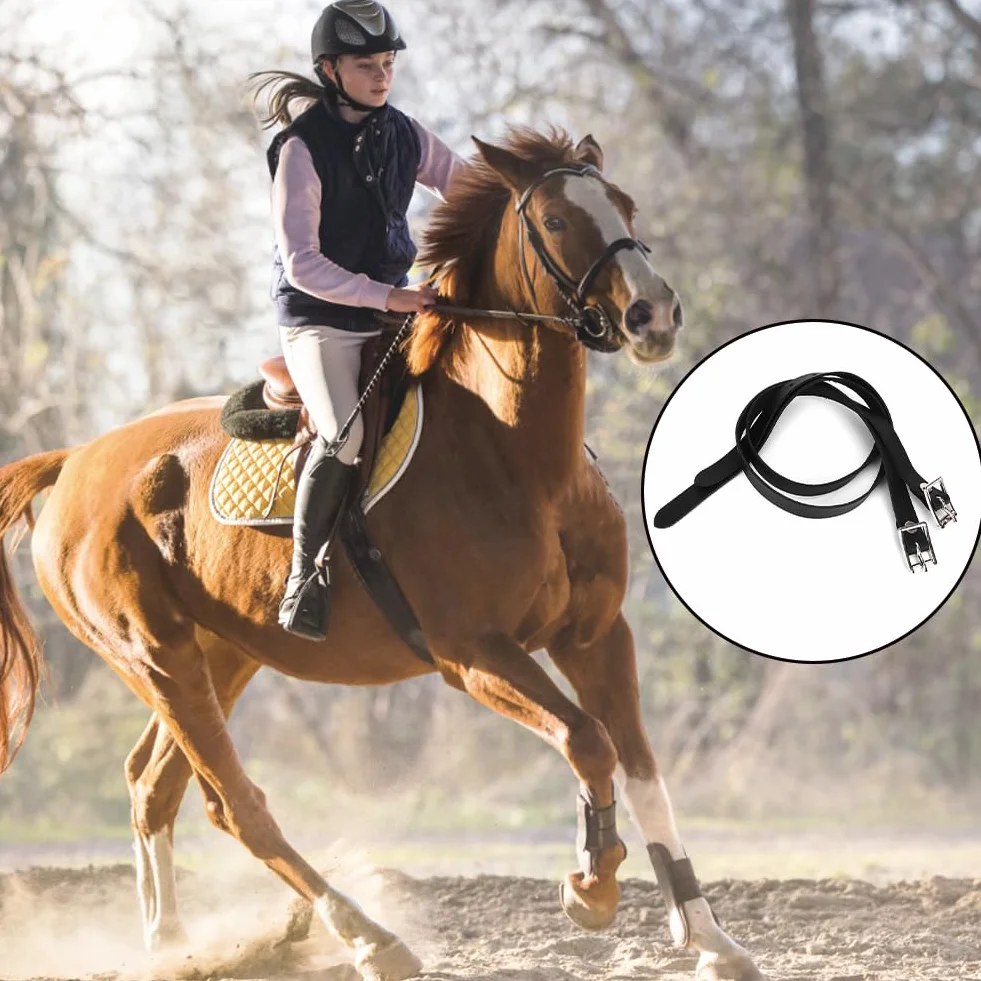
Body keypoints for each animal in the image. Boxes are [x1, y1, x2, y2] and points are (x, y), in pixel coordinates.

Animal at [0, 125, 761, 981]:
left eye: (624, 206)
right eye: (558, 220)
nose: (652, 313)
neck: (519, 458)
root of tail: (73, 460)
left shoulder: (595, 636)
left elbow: (640, 766)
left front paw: (710, 937)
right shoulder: (475, 655)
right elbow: (585, 740)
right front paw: (591, 887)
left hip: (217, 654)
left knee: (152, 787)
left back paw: (172, 946)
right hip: (155, 655)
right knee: (233, 804)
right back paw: (368, 935)